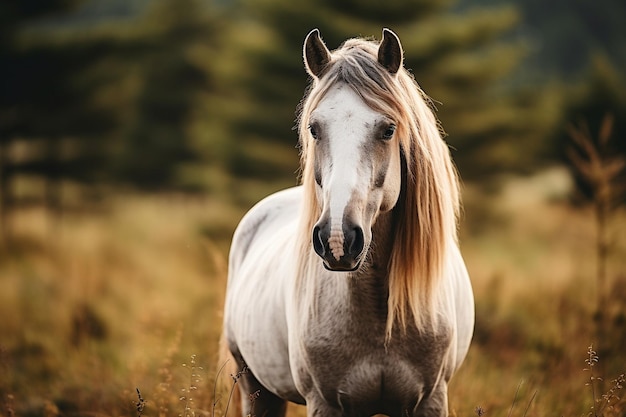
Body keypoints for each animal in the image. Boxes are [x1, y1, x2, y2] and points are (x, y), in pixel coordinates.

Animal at [222, 28, 470, 416]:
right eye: (314, 128)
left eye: (388, 129)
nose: (337, 240)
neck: (380, 314)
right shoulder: (325, 403)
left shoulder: (430, 400)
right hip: (254, 385)